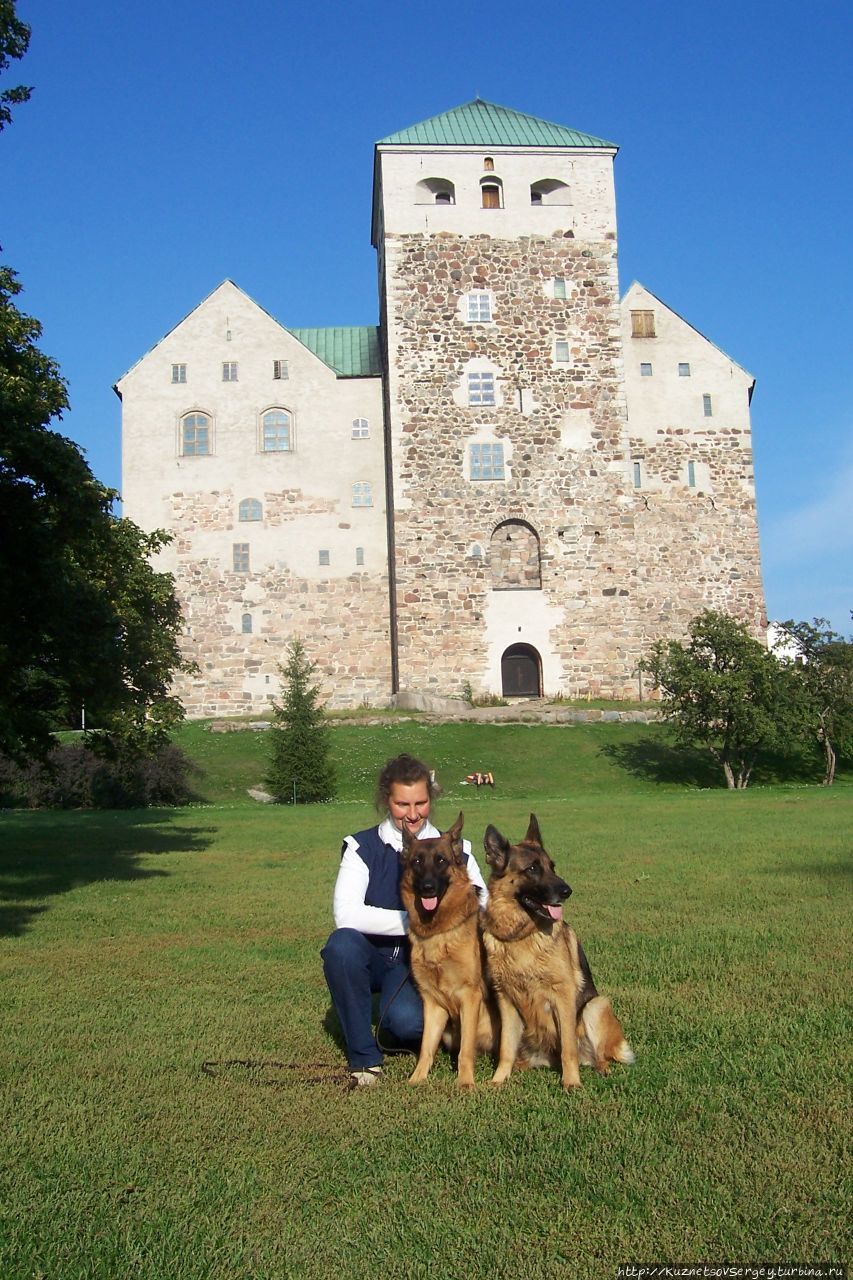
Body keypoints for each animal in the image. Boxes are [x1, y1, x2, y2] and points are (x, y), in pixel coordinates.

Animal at [399, 814, 499, 1085]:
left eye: (441, 861)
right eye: (417, 861)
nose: (427, 888)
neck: (438, 933)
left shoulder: (469, 997)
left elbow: (465, 1050)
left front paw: (465, 1082)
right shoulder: (433, 1003)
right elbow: (426, 1047)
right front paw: (416, 1080)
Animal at [479, 819, 630, 1090]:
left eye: (552, 866)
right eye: (531, 869)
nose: (568, 891)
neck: (523, 935)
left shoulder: (563, 996)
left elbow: (568, 1048)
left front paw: (571, 1083)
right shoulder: (505, 1000)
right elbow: (505, 1048)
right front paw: (498, 1080)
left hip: (595, 1005)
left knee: (597, 1054)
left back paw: (601, 1068)